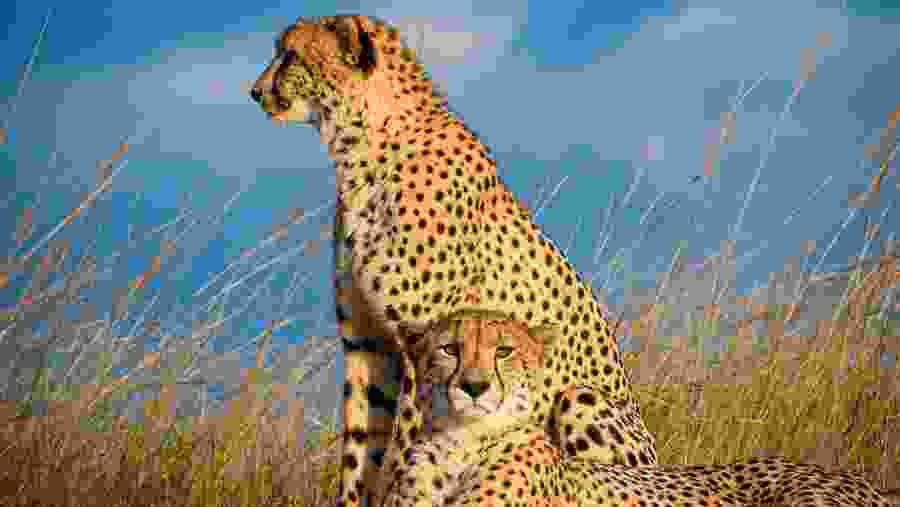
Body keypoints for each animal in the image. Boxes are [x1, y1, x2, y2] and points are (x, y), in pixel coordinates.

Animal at [249, 14, 657, 507]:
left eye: (289, 55)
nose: (255, 91)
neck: (363, 146)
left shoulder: (422, 342)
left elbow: (407, 446)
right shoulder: (367, 344)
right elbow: (360, 450)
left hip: (580, 399)